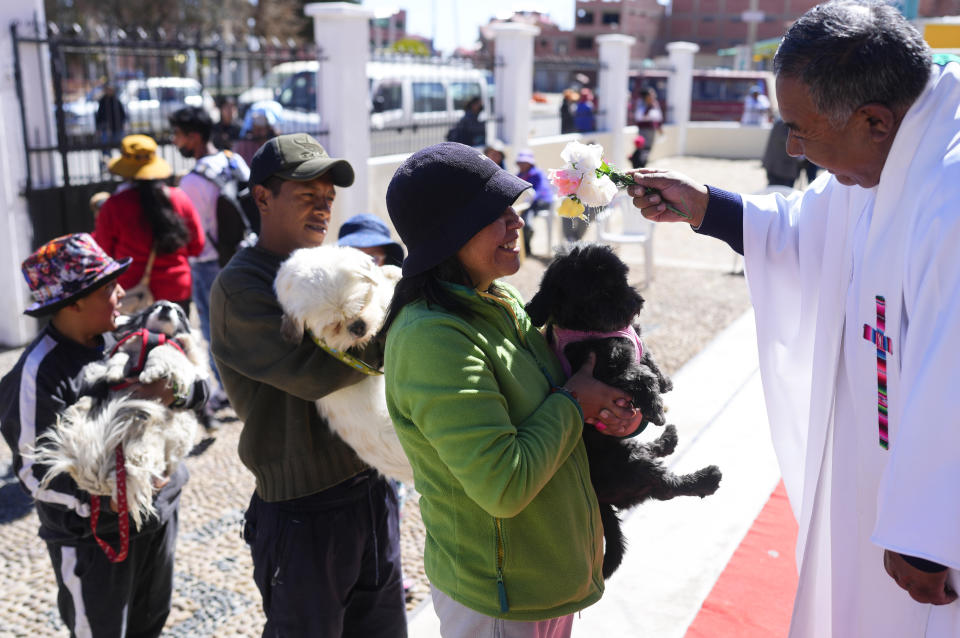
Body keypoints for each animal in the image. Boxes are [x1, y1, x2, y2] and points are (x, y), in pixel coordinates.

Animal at [30, 302, 204, 532]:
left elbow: (162, 351)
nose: (166, 307)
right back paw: (82, 405)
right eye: (155, 307)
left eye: (180, 313)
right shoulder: (125, 349)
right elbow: (119, 358)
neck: (155, 335)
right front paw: (115, 373)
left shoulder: (183, 356)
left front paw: (151, 372)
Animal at [524, 244, 720, 580]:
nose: (636, 303)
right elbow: (640, 374)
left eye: (622, 279)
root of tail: (600, 500)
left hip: (629, 452)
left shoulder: (635, 339)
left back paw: (669, 439)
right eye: (598, 291)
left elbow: (649, 358)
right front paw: (655, 406)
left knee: (652, 455)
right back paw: (704, 477)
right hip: (630, 464)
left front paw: (665, 383)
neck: (590, 328)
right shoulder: (606, 373)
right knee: (665, 488)